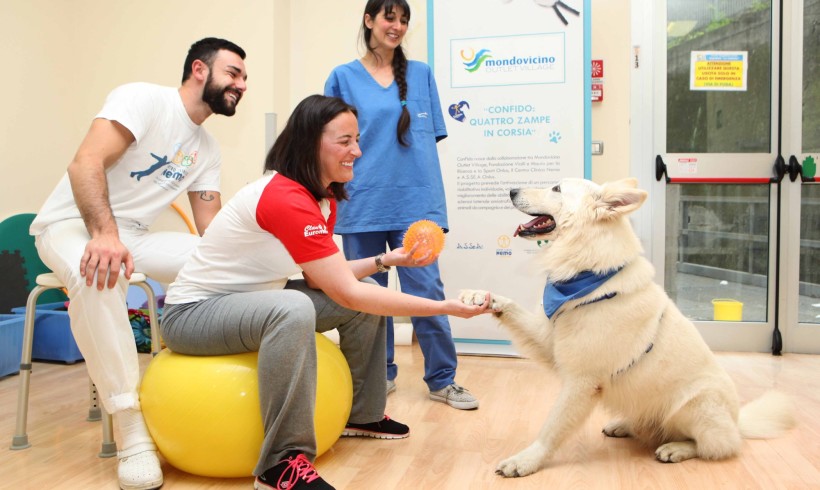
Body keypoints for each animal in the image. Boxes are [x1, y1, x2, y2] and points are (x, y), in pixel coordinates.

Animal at [462, 177, 796, 478]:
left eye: (556, 188)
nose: (510, 190)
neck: (588, 275)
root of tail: (737, 420)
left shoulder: (581, 381)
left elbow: (552, 428)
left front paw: (526, 461)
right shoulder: (551, 342)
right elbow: (510, 307)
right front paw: (478, 297)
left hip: (695, 405)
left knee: (720, 446)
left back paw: (677, 448)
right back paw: (625, 425)